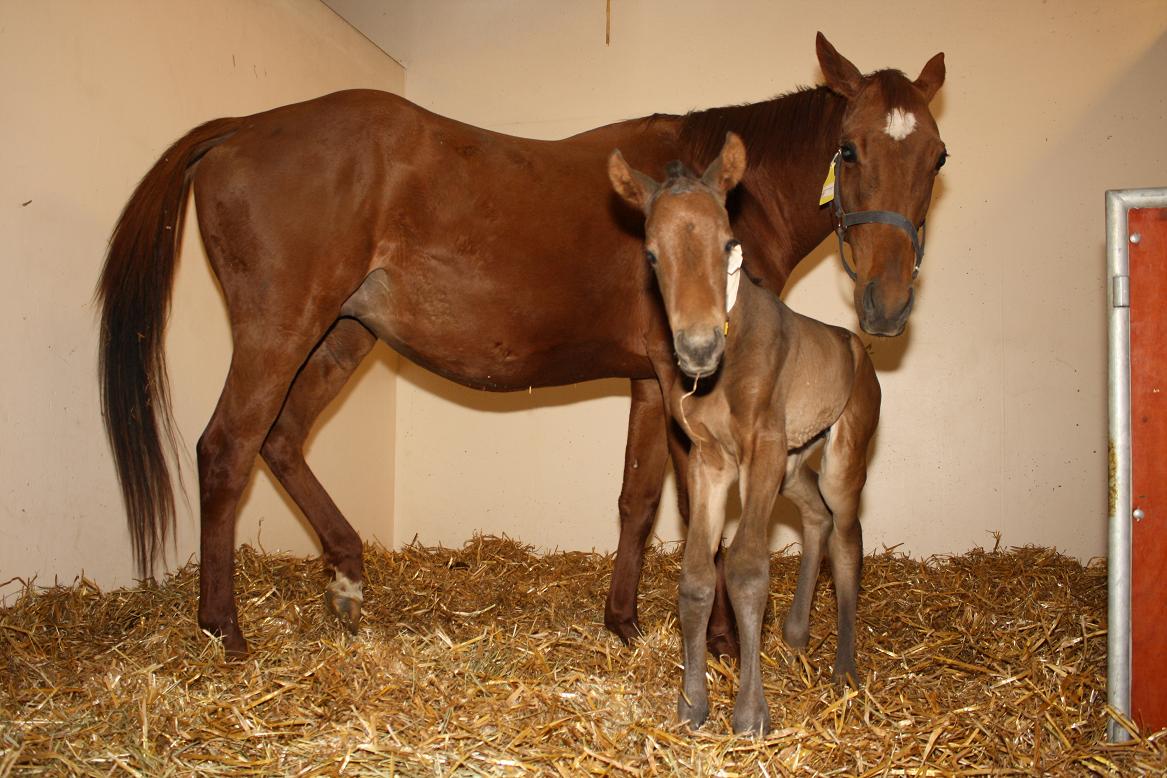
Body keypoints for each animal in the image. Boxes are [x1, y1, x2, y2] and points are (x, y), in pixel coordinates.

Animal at [611, 134, 877, 737]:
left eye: (730, 243)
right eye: (651, 254)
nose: (699, 348)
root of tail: (855, 345)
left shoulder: (762, 447)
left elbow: (747, 569)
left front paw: (752, 713)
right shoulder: (711, 460)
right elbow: (696, 576)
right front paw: (692, 705)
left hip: (838, 454)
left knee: (847, 532)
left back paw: (845, 670)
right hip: (794, 464)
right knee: (816, 516)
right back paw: (798, 633)